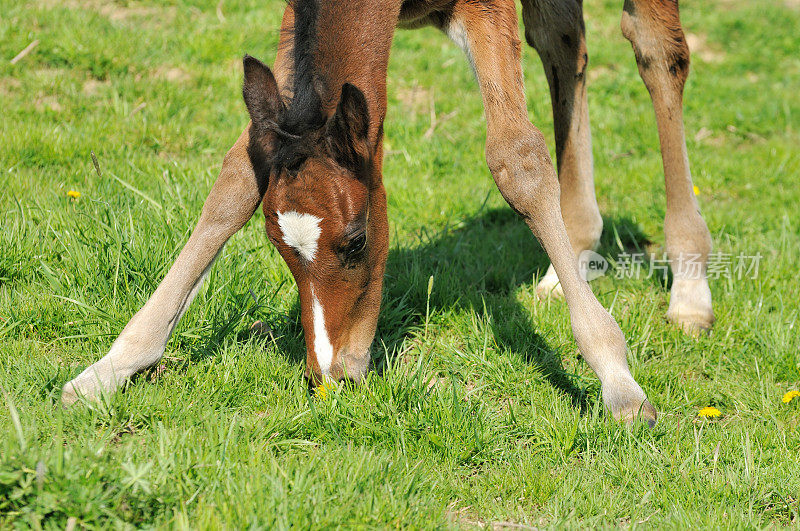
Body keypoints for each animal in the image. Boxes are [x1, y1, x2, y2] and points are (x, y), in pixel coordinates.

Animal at [61, 0, 712, 426]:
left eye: (356, 240)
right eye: (277, 248)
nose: (331, 376)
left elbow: (517, 160)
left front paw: (618, 382)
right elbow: (235, 178)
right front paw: (109, 367)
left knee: (658, 49)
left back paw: (690, 283)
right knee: (563, 40)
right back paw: (573, 256)